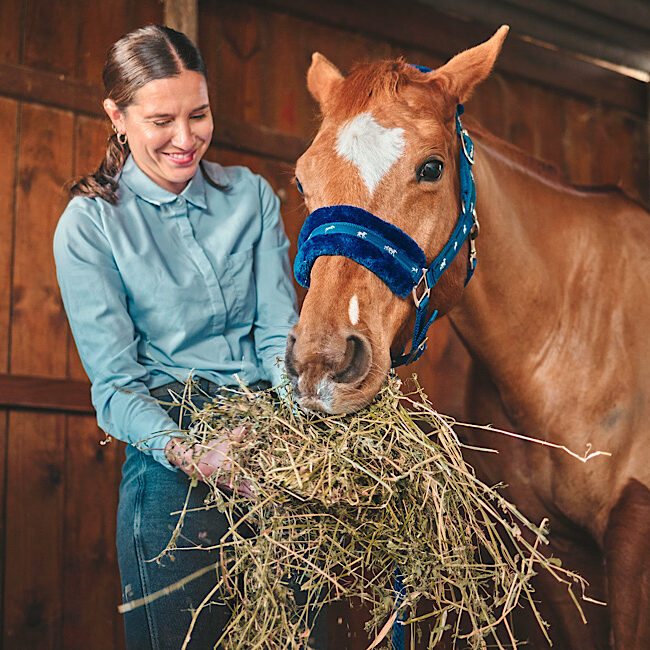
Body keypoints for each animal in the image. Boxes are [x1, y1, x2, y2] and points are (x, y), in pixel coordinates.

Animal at [285, 26, 650, 649]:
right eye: (303, 177)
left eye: (432, 168)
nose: (322, 363)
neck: (574, 333)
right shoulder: (554, 547)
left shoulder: (633, 539)